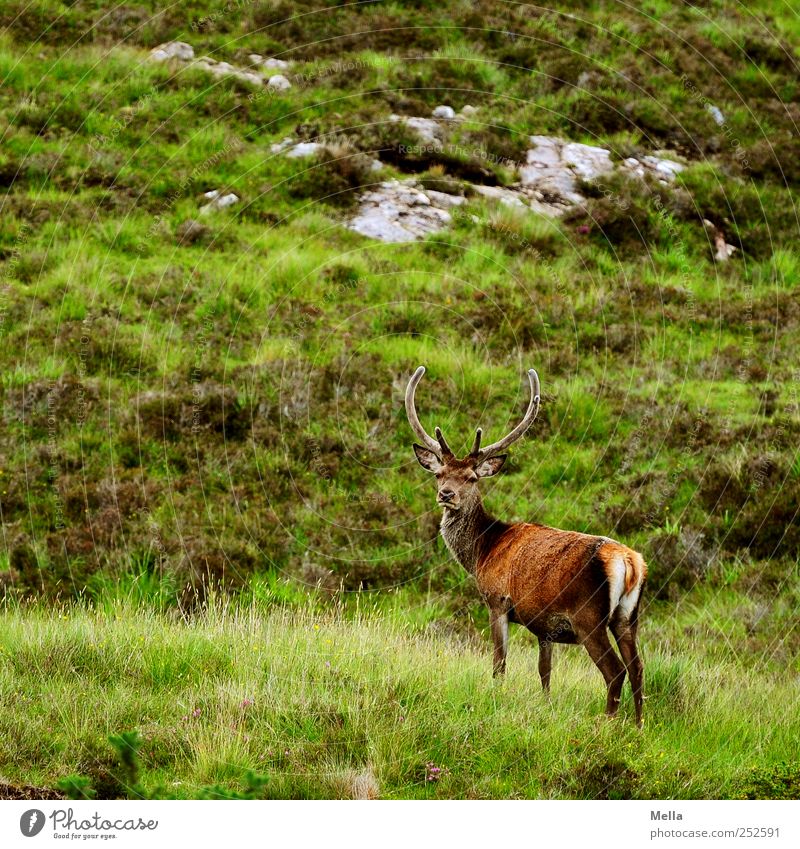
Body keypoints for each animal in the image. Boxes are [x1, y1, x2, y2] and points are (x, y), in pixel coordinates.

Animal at [410, 362, 648, 724]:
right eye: (439, 474)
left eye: (471, 478)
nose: (446, 494)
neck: (483, 551)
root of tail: (630, 563)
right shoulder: (545, 627)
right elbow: (544, 672)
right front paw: (545, 706)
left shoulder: (497, 600)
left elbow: (499, 664)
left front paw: (495, 698)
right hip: (628, 616)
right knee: (638, 669)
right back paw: (637, 727)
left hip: (589, 617)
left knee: (615, 671)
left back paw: (608, 724)